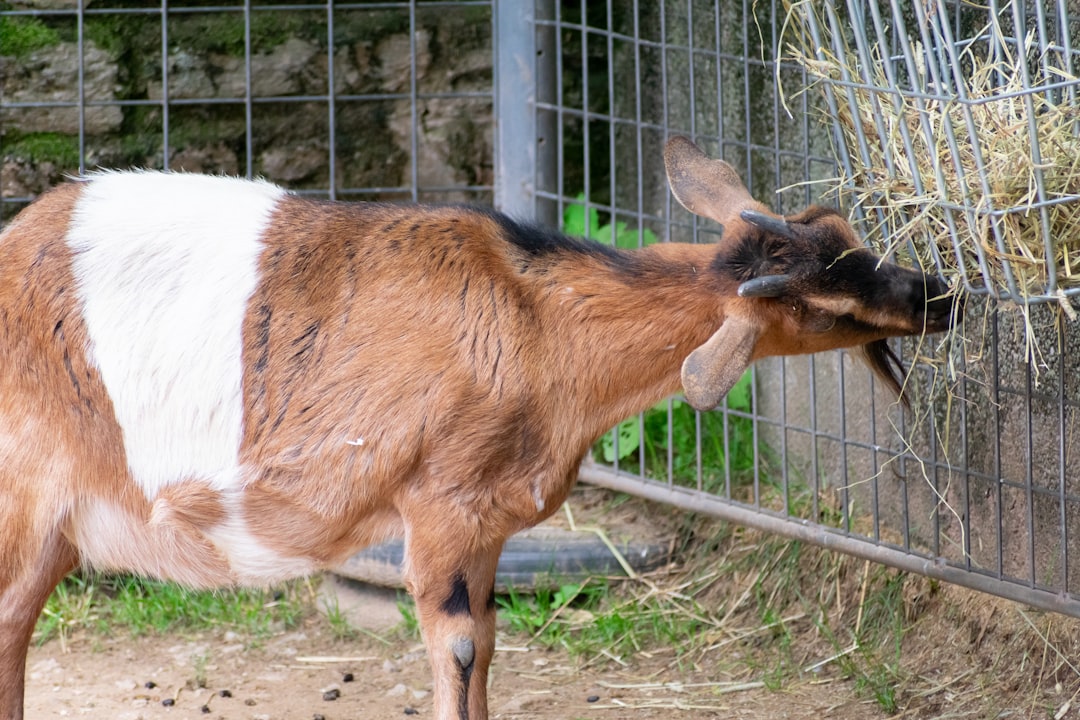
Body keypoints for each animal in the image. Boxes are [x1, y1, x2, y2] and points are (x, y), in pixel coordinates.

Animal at [0, 136, 956, 720]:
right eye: (822, 309)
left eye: (844, 230)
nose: (936, 295)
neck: (538, 324)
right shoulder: (441, 504)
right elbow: (457, 648)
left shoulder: (491, 522)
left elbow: (489, 647)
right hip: (23, 497)